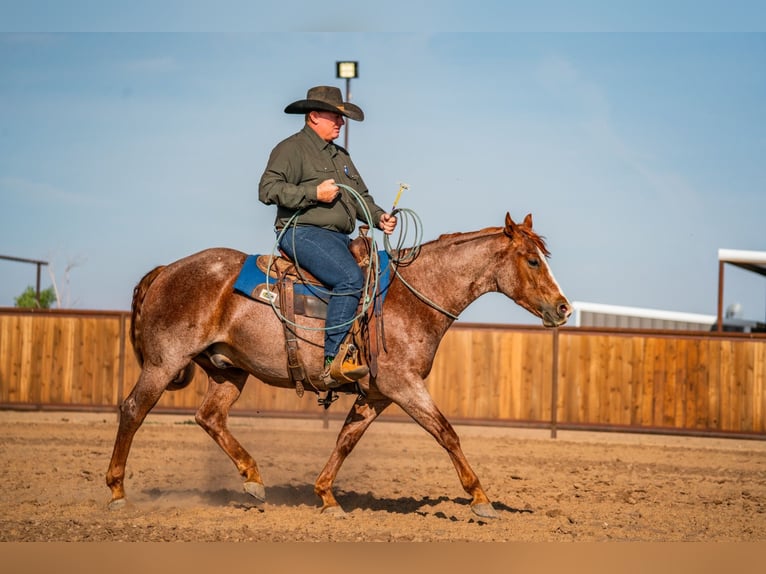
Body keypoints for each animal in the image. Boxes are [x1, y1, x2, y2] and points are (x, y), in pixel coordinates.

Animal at [106, 212, 571, 518]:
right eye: (532, 260)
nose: (563, 308)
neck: (410, 297)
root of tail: (167, 270)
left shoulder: (377, 394)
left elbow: (346, 440)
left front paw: (326, 496)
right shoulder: (404, 385)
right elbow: (447, 433)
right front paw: (481, 499)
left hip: (228, 370)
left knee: (210, 417)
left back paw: (253, 478)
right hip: (164, 362)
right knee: (133, 410)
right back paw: (117, 492)